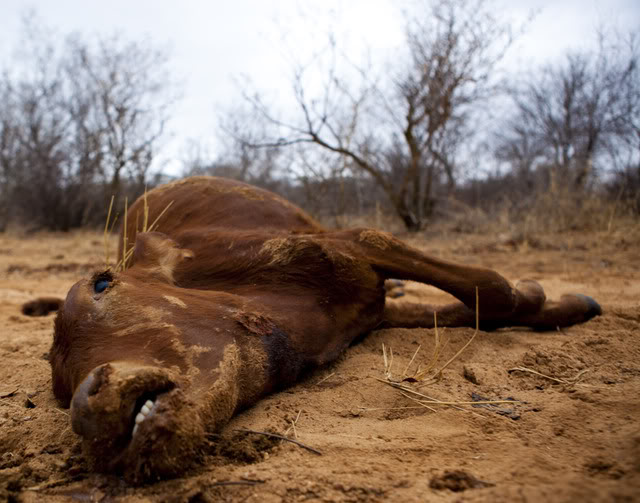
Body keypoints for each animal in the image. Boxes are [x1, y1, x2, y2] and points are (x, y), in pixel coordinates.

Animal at [30, 176, 601, 482]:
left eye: (103, 283)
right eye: (57, 391)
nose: (88, 414)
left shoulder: (360, 243)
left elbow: (490, 290)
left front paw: (556, 300)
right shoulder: (370, 308)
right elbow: (472, 307)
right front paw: (557, 302)